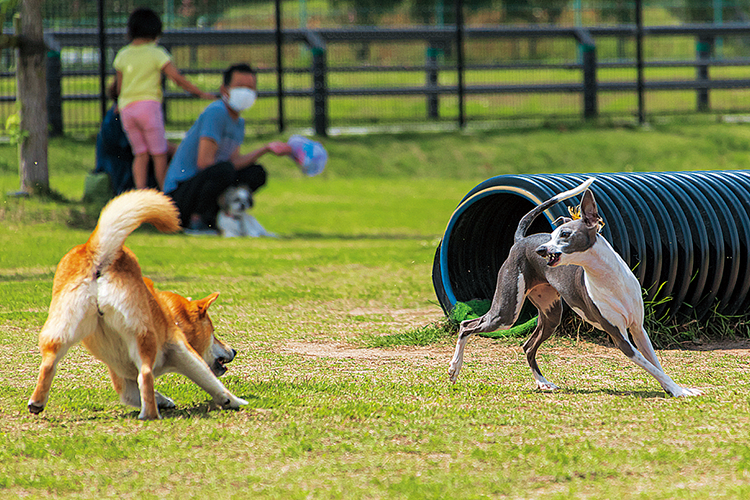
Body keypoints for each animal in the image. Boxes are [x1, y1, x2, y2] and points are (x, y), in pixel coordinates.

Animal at [27, 189, 248, 420]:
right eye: (213, 332)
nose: (234, 350)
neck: (169, 314)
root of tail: (97, 251)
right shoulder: (181, 349)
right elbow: (210, 381)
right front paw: (232, 400)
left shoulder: (121, 378)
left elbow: (133, 395)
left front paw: (163, 400)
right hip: (142, 334)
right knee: (146, 374)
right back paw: (150, 415)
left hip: (62, 327)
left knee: (49, 362)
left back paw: (36, 403)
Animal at [452, 180, 704, 398]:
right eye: (553, 234)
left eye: (564, 234)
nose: (541, 250)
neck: (608, 280)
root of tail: (521, 240)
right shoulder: (620, 338)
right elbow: (650, 366)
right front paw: (679, 391)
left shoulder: (638, 329)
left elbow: (656, 364)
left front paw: (675, 388)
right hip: (506, 314)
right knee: (466, 326)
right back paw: (454, 368)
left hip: (551, 315)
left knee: (528, 346)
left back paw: (542, 382)